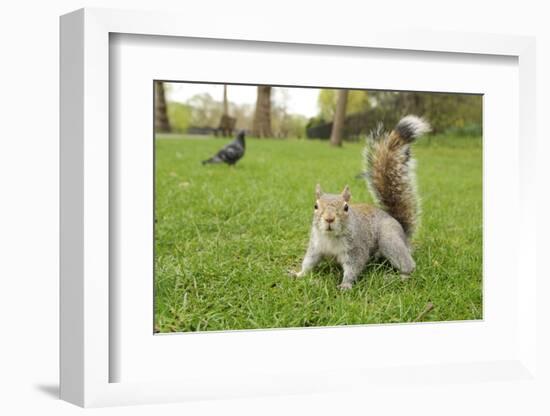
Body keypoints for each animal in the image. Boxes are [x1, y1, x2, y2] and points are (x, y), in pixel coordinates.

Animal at [294, 114, 432, 290]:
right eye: (315, 206)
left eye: (346, 207)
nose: (329, 219)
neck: (332, 237)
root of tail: (402, 231)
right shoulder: (316, 246)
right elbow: (309, 262)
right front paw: (298, 274)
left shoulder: (356, 249)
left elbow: (354, 267)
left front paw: (345, 285)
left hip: (389, 239)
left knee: (408, 265)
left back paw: (400, 277)